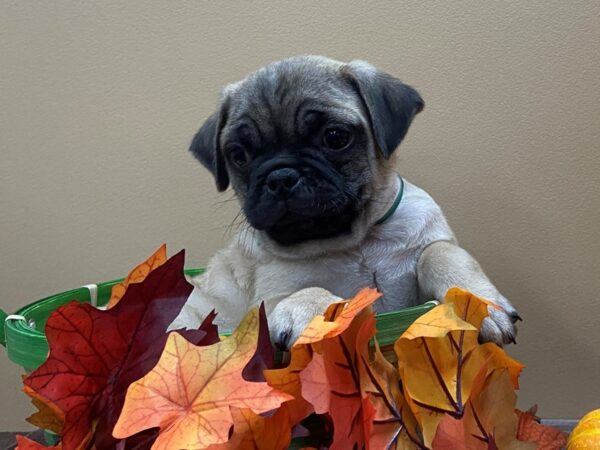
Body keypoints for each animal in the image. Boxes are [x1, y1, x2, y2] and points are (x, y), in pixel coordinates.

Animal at [170, 53, 520, 348]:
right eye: (239, 155)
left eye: (335, 137)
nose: (281, 176)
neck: (354, 244)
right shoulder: (271, 297)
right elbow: (304, 289)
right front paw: (312, 313)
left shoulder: (424, 267)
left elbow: (440, 254)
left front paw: (477, 304)